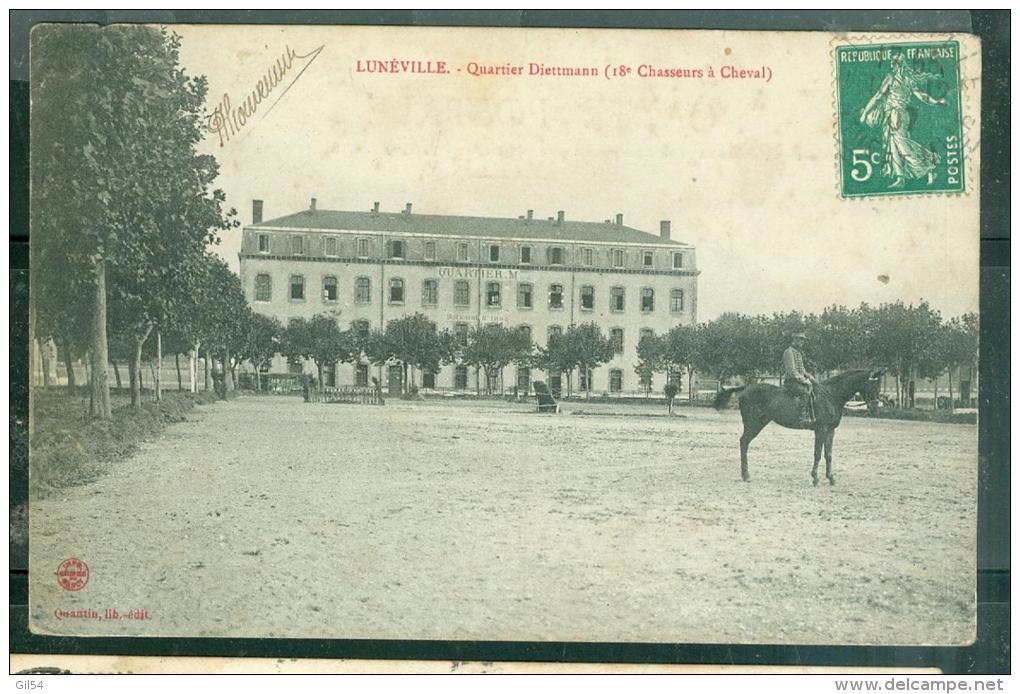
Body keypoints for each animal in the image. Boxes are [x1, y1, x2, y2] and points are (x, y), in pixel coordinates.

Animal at [709, 371, 885, 485]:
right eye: (872, 385)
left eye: (879, 385)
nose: (876, 407)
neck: (831, 395)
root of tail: (746, 388)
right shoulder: (821, 430)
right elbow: (817, 454)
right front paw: (815, 478)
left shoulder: (830, 431)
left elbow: (828, 455)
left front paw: (831, 478)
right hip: (753, 424)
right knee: (744, 442)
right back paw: (746, 475)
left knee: (744, 443)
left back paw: (745, 474)